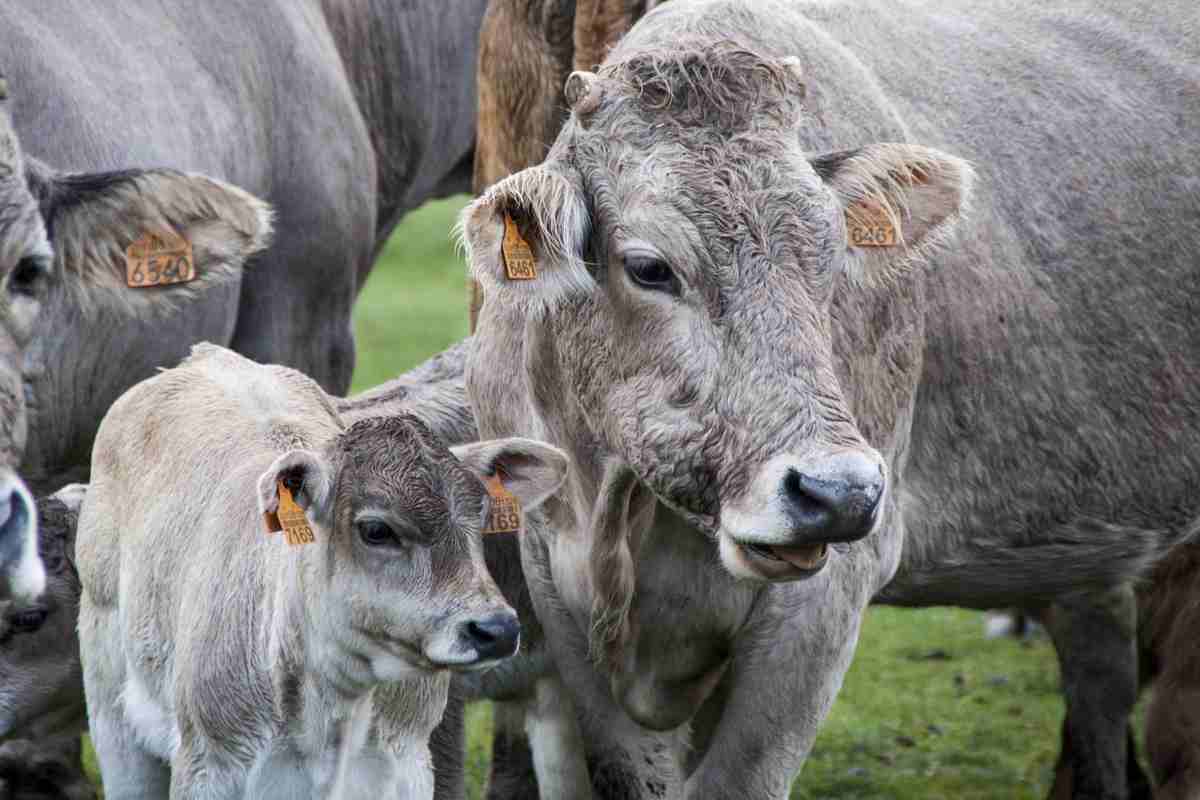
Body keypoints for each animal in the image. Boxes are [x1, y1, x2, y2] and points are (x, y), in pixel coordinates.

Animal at [76, 347, 571, 800]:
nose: (496, 629)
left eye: (480, 516)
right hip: (112, 719)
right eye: (376, 529)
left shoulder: (408, 764)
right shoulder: (210, 766)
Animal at [456, 3, 1200, 796]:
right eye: (650, 267)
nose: (838, 492)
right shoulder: (554, 583)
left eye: (832, 253)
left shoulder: (824, 601)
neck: (625, 511)